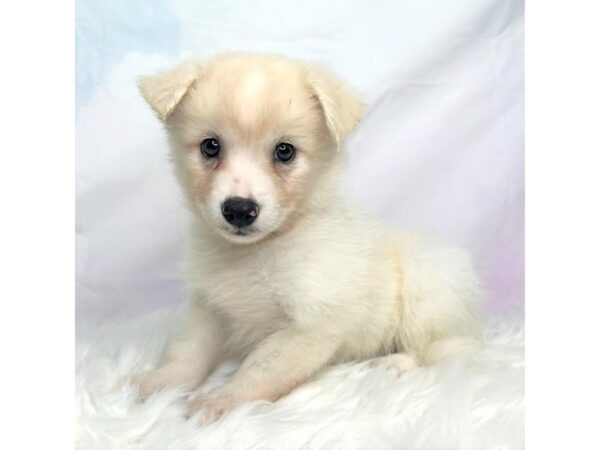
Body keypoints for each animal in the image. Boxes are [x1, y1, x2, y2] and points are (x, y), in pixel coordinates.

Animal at [131, 54, 482, 424]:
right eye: (210, 146)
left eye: (285, 151)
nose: (239, 210)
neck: (258, 251)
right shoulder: (210, 308)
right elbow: (188, 351)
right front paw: (162, 382)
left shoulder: (309, 326)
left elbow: (259, 369)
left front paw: (222, 399)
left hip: (427, 278)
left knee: (442, 348)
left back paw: (393, 364)